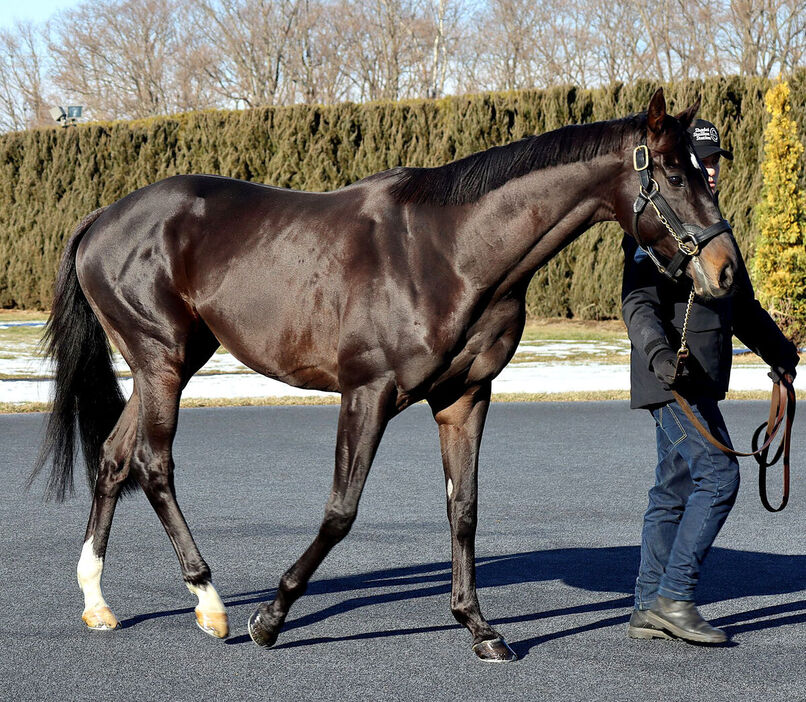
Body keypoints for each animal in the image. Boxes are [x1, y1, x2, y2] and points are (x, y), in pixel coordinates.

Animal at [33, 86, 740, 660]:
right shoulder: (367, 393)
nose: (726, 272)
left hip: (170, 363)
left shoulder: (464, 397)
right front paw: (271, 618)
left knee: (114, 458)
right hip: (161, 359)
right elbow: (341, 511)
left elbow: (464, 510)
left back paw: (98, 601)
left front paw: (479, 628)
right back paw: (210, 603)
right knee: (152, 465)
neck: (448, 252)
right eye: (673, 174)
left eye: (704, 173)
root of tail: (102, 219)